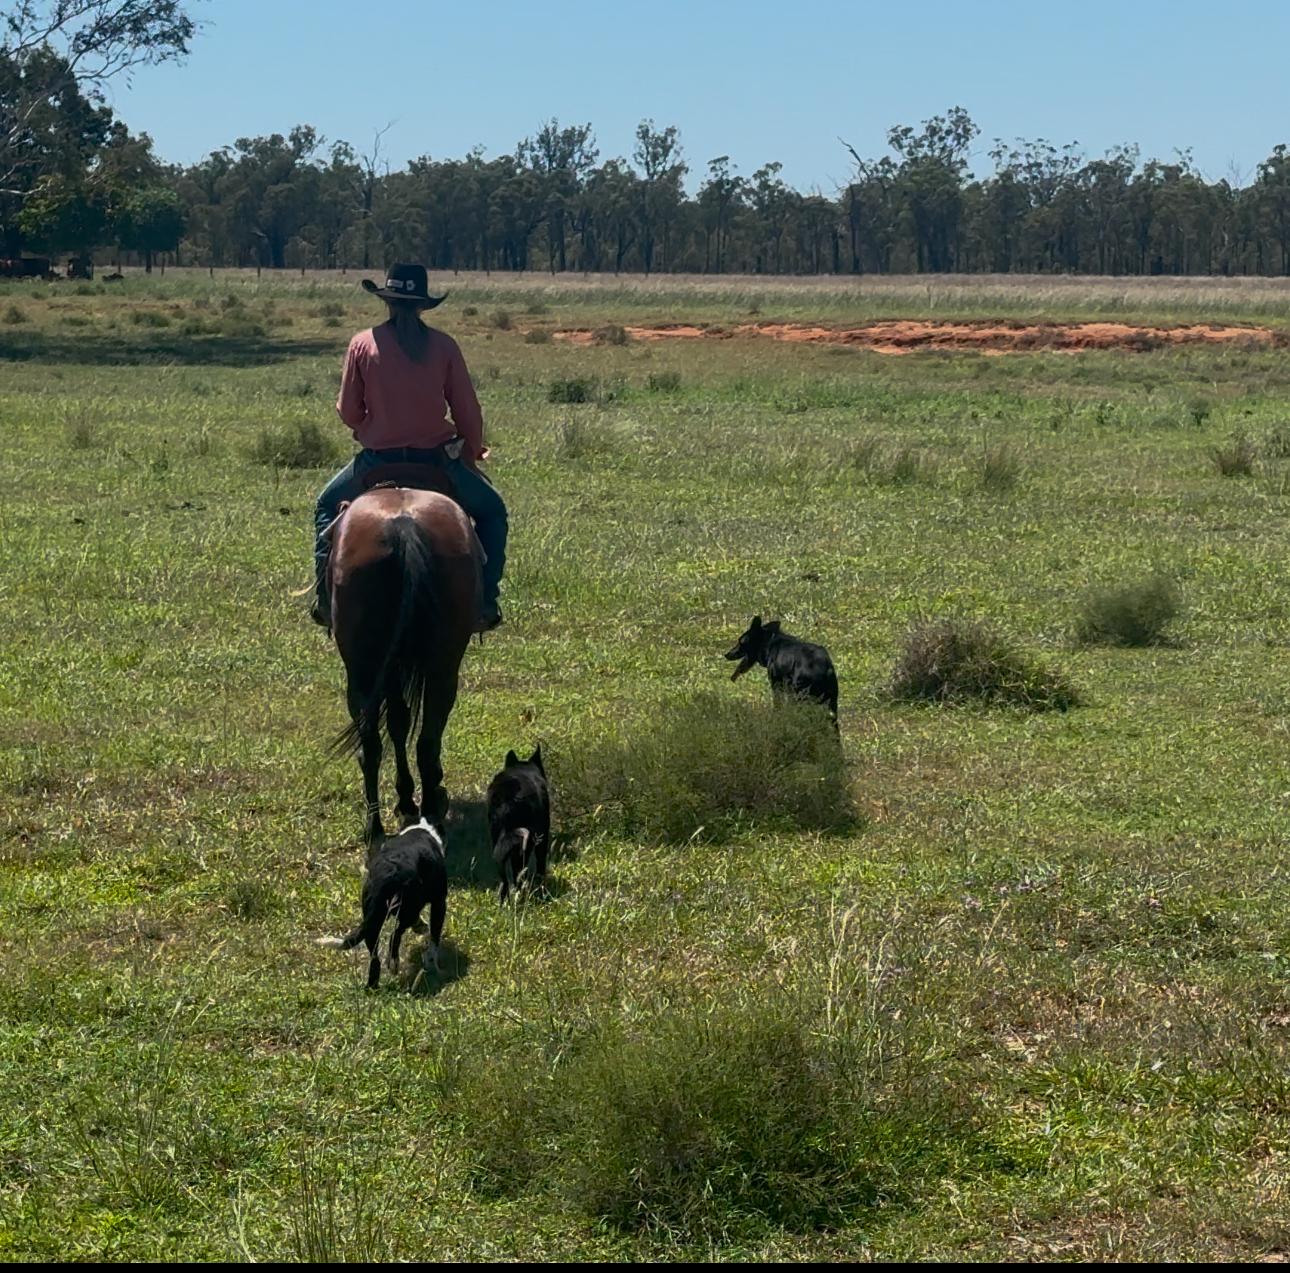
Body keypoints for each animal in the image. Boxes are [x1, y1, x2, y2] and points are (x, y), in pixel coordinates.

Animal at [315, 818, 447, 988]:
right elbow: (434, 939)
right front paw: (433, 966)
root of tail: (388, 874)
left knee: (374, 957)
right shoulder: (439, 902)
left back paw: (373, 986)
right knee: (395, 936)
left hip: (374, 919)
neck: (421, 827)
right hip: (406, 908)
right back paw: (393, 964)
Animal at [329, 482, 479, 845]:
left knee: (371, 742)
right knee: (425, 739)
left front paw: (406, 797)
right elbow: (404, 723)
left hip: (363, 668)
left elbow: (397, 723)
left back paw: (374, 827)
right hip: (442, 665)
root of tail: (403, 526)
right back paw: (430, 810)